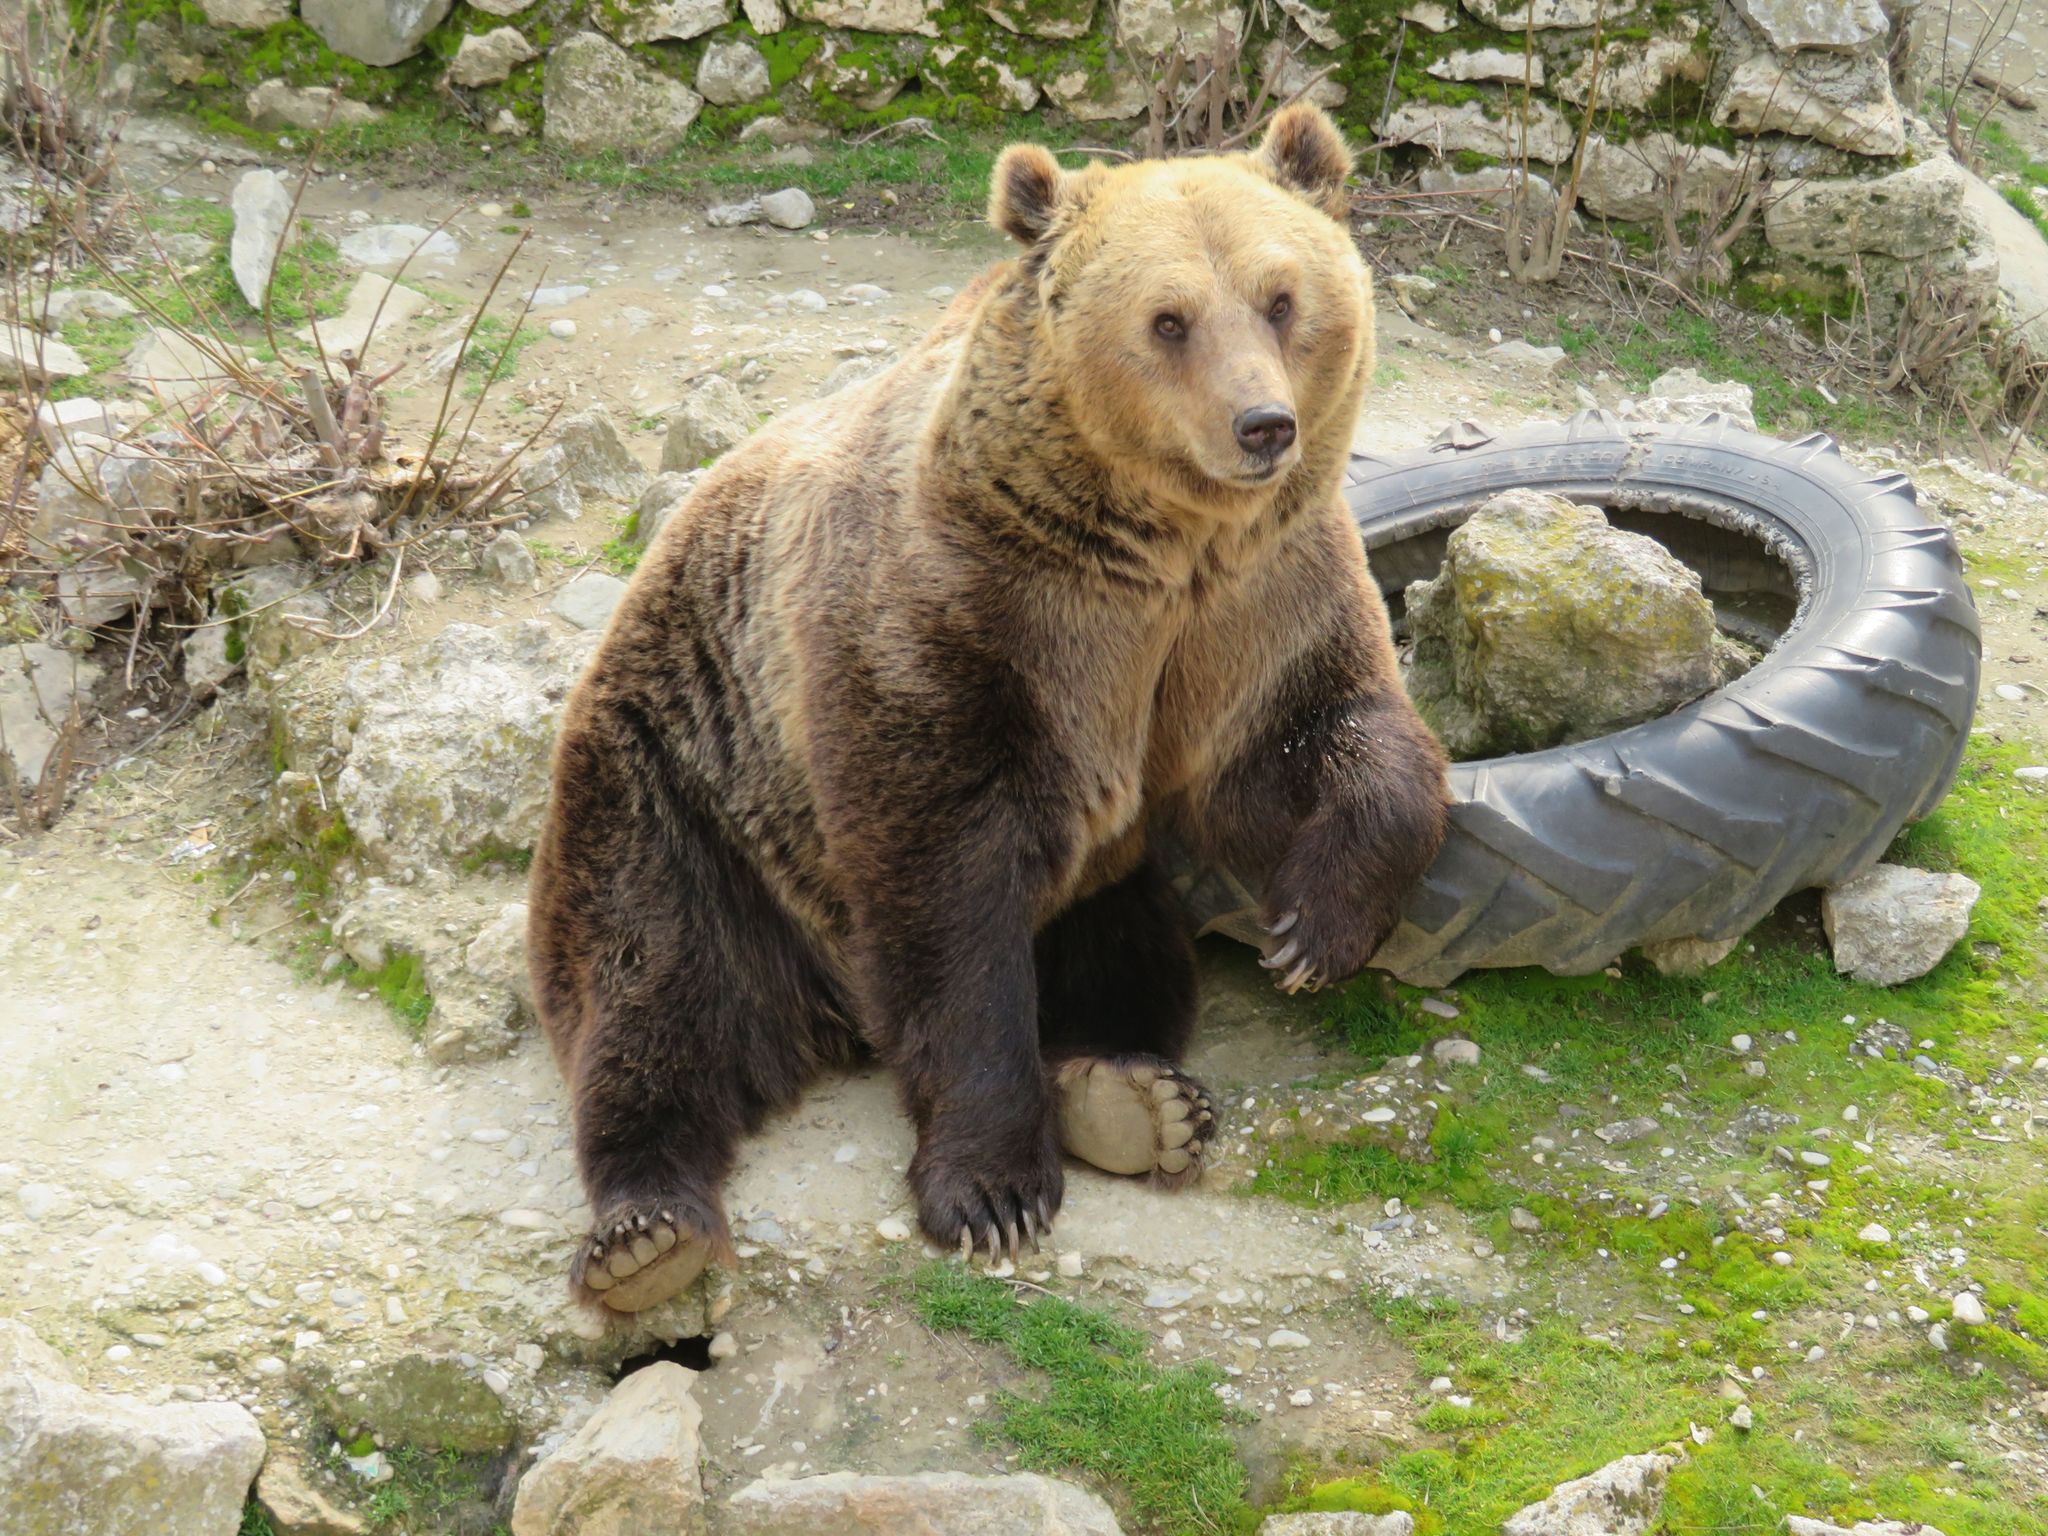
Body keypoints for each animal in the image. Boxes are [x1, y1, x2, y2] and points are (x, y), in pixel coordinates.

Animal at [527, 102, 1451, 1313]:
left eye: (1281, 297)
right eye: (1168, 319)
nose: (1263, 426)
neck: (1154, 545)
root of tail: (825, 1009)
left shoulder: (1247, 606)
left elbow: (1311, 739)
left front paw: (1312, 928)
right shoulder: (965, 620)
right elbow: (945, 893)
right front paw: (989, 1189)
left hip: (1100, 872)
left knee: (1129, 954)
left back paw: (1131, 1096)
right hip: (675, 775)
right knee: (649, 983)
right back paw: (645, 1229)